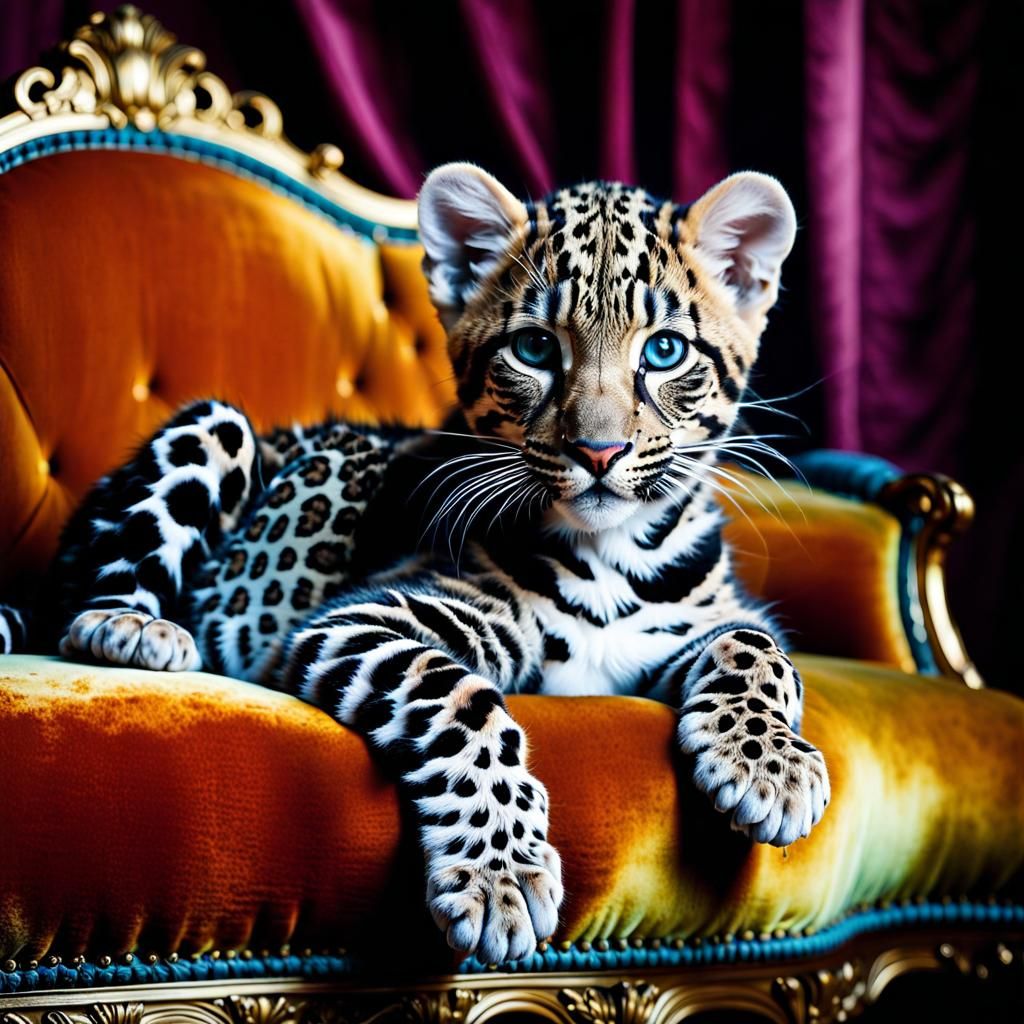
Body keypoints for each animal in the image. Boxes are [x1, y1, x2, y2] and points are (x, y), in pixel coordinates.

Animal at [0, 163, 829, 966]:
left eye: (664, 352)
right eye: (535, 349)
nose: (599, 452)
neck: (614, 555)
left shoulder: (678, 633)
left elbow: (759, 647)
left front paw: (771, 768)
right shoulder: (366, 616)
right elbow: (462, 701)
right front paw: (501, 876)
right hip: (215, 427)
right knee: (83, 597)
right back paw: (134, 629)